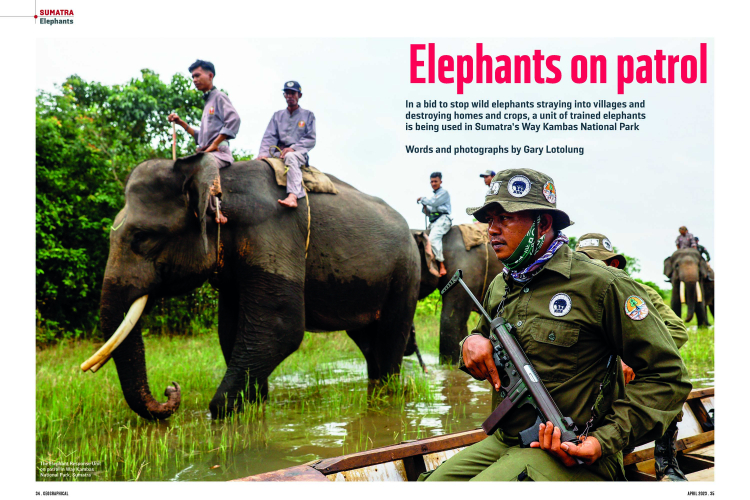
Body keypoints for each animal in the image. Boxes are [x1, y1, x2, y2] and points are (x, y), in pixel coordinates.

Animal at [83, 154, 420, 420]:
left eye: (142, 237)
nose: (171, 388)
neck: (219, 182)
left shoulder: (272, 232)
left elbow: (280, 327)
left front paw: (225, 410)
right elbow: (230, 331)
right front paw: (256, 404)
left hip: (406, 275)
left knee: (390, 339)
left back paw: (387, 396)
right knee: (368, 342)